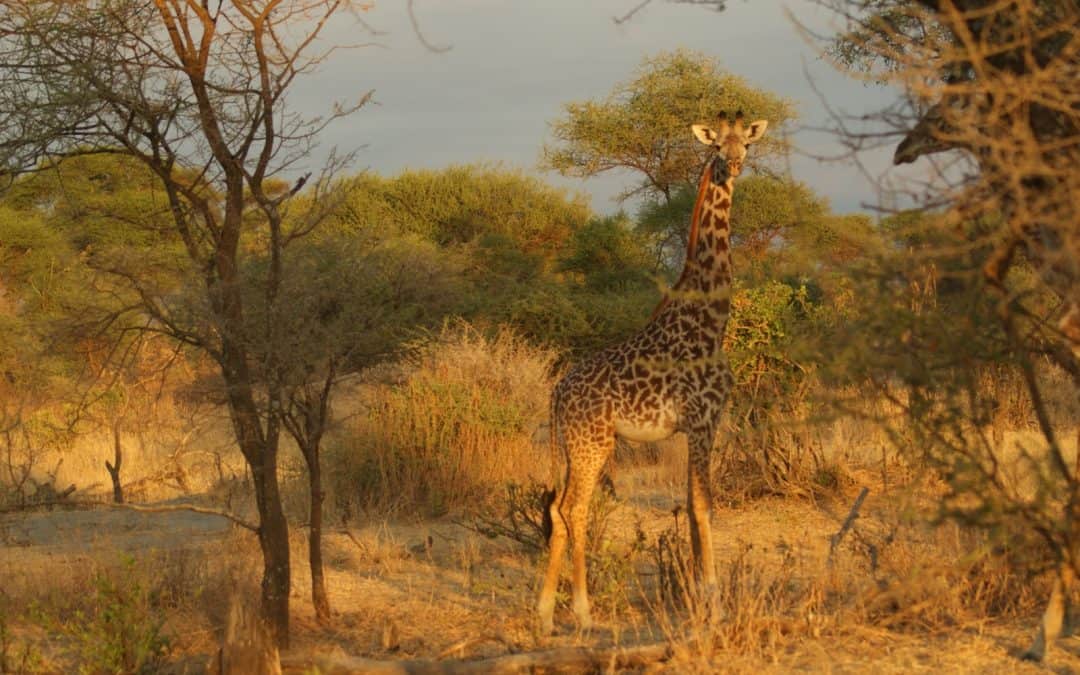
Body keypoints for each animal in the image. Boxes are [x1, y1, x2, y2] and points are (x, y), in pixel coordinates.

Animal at [540, 110, 768, 630]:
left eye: (746, 143)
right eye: (717, 146)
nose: (734, 164)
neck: (712, 320)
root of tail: (558, 392)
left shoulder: (698, 427)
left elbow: (691, 503)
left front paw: (696, 596)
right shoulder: (703, 422)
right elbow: (704, 507)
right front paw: (714, 602)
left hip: (574, 445)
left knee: (559, 509)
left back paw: (542, 610)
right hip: (593, 444)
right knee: (575, 509)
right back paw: (582, 611)